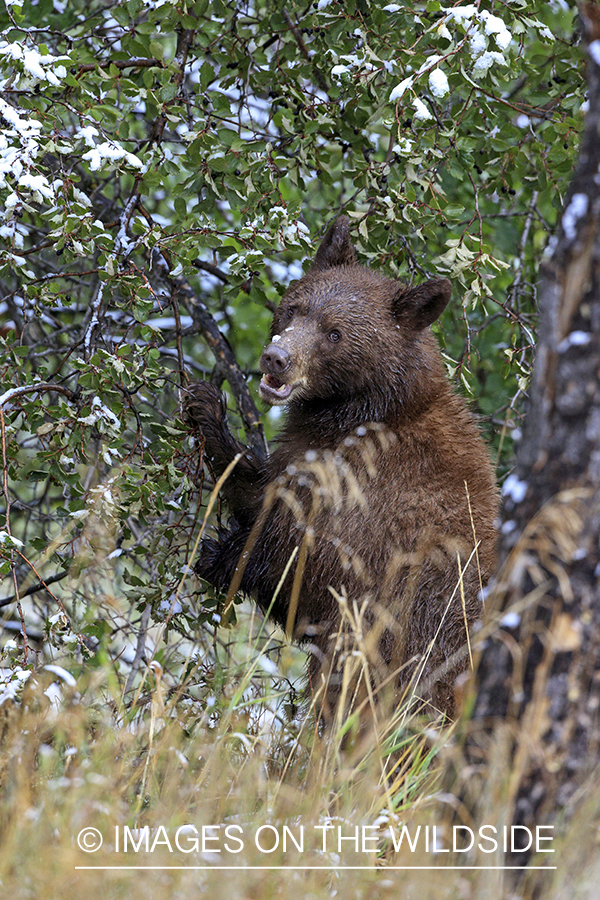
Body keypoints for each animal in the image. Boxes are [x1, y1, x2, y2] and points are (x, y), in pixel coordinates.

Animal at [184, 218, 502, 724]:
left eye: (334, 333)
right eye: (294, 308)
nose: (277, 359)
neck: (362, 413)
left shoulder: (363, 501)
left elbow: (294, 561)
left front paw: (219, 555)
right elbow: (261, 487)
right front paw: (204, 407)